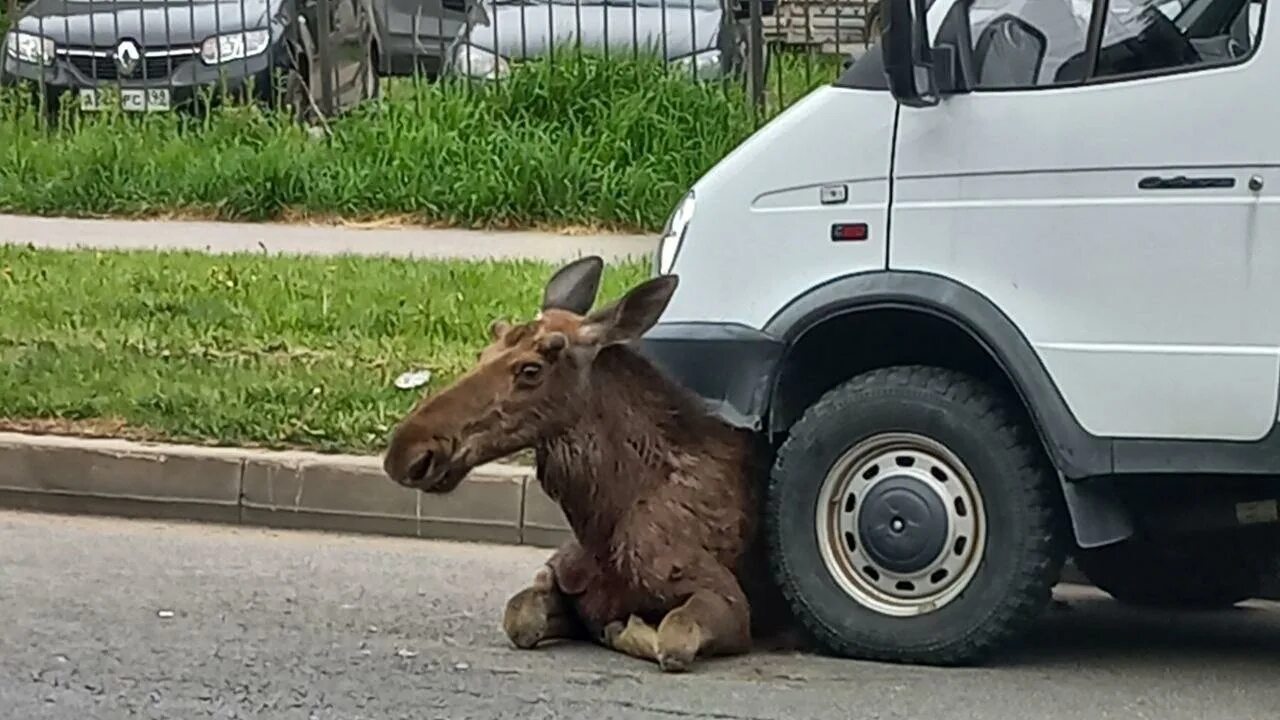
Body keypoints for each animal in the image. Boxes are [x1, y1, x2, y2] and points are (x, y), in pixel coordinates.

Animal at [376, 254, 788, 671]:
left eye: (531, 369)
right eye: (483, 354)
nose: (407, 453)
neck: (601, 522)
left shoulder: (727, 600)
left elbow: (672, 639)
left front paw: (627, 629)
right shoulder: (560, 575)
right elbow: (519, 617)